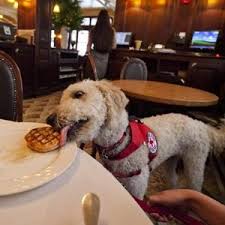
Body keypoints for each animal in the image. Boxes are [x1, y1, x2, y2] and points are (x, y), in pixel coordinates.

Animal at [48, 79, 225, 200]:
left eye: (78, 94)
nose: (49, 119)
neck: (121, 140)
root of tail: (202, 125)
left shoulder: (137, 184)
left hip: (195, 162)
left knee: (195, 185)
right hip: (171, 160)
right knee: (173, 178)